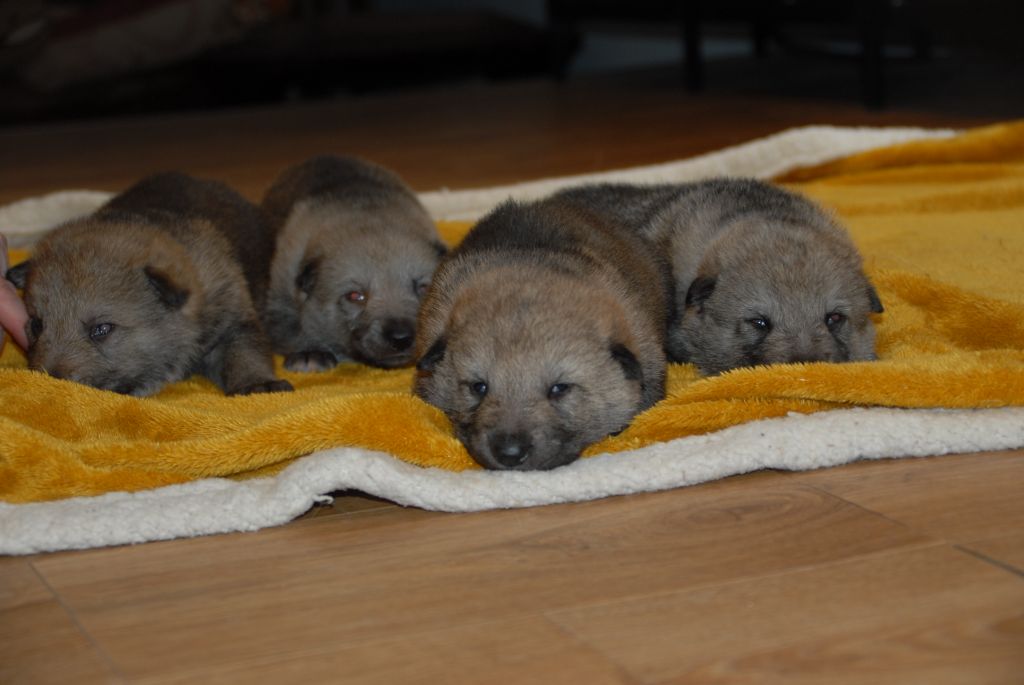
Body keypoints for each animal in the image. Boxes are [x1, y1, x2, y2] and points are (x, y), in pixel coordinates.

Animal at [8, 170, 294, 395]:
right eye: (36, 324)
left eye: (101, 329)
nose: (51, 381)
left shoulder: (232, 317)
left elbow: (244, 352)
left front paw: (256, 384)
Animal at [260, 156, 444, 368]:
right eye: (356, 296)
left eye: (423, 288)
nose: (401, 338)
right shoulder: (281, 294)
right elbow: (290, 327)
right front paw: (309, 352)